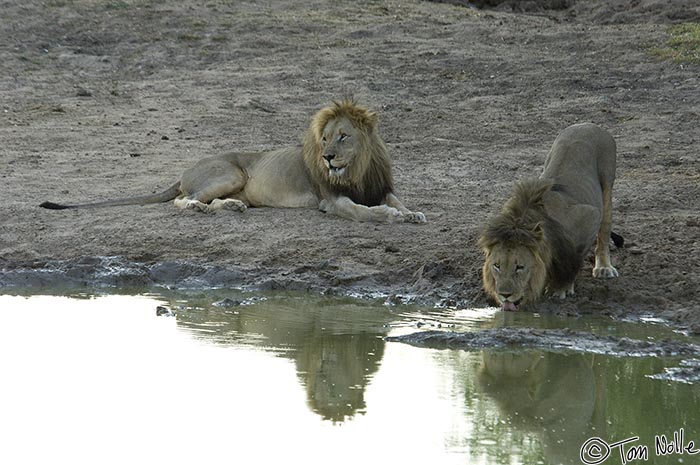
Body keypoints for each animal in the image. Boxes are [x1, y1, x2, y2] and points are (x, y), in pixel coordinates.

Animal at [43, 99, 430, 224]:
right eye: (324, 138)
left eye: (343, 136)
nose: (327, 156)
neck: (357, 169)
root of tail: (184, 170)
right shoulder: (330, 201)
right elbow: (362, 210)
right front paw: (390, 216)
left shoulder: (379, 186)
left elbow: (397, 200)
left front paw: (412, 213)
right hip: (229, 174)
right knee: (183, 201)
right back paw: (203, 208)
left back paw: (231, 208)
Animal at [478, 123, 620, 310]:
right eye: (497, 266)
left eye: (519, 267)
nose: (504, 295)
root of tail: (588, 124)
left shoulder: (589, 217)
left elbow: (574, 260)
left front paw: (560, 288)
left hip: (607, 185)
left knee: (605, 229)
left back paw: (604, 267)